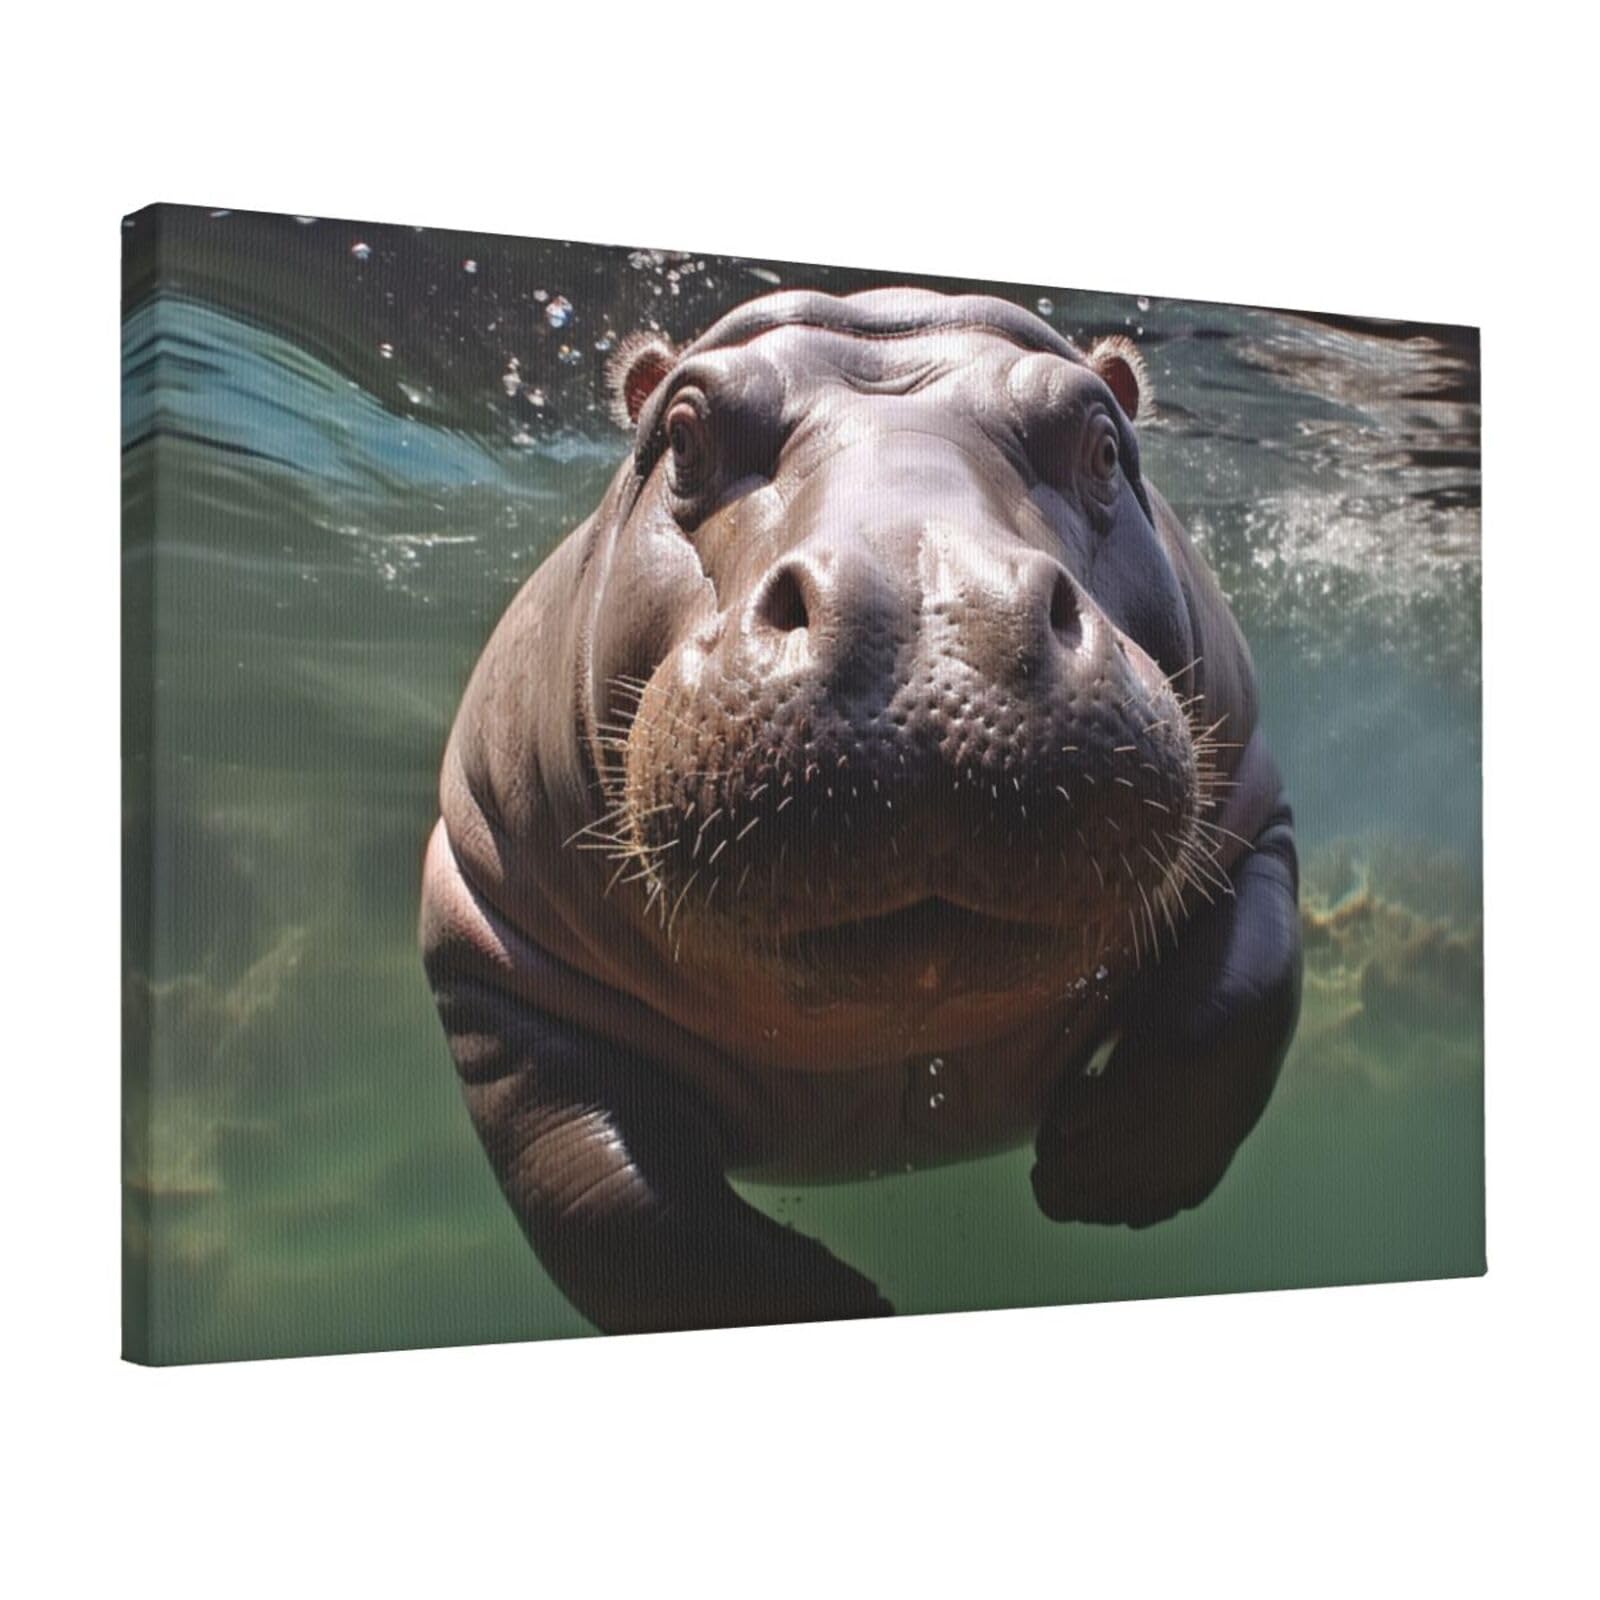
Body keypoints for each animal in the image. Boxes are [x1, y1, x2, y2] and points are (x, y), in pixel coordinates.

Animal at [419, 288, 1302, 1334]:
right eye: (683, 436)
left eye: (1099, 443)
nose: (927, 603)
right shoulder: (485, 927)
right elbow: (599, 1193)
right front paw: (833, 1303)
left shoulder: (1254, 822)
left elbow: (1240, 1000)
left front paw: (1099, 1174)